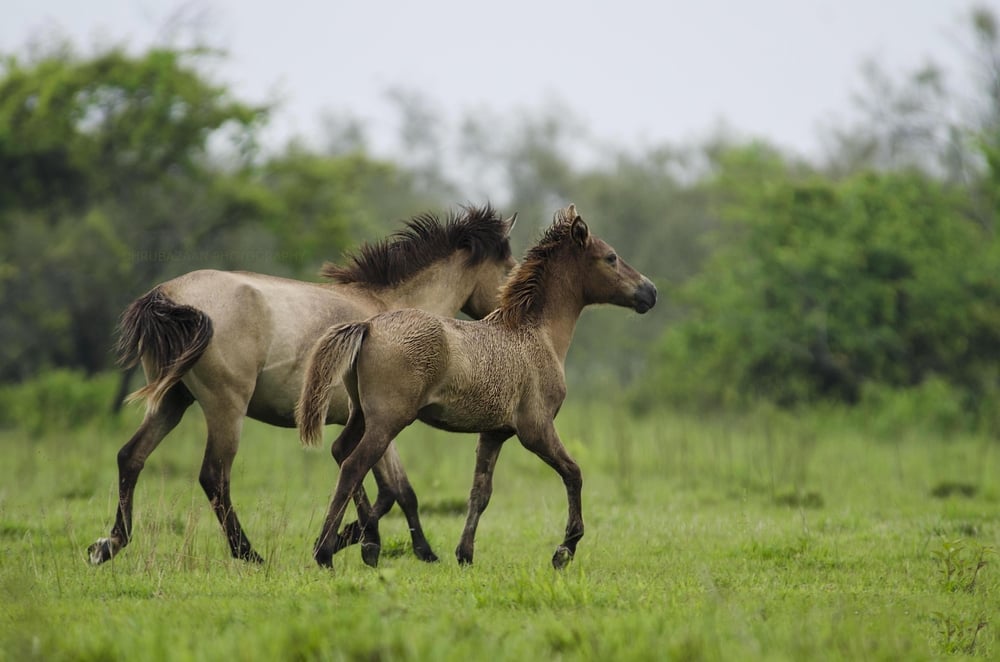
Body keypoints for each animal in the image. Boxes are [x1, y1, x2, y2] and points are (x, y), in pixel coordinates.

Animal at [88, 205, 516, 568]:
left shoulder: (367, 423)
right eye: (509, 269)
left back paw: (108, 545)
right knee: (214, 476)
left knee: (131, 457)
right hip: (225, 407)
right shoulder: (383, 422)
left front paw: (396, 547)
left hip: (172, 401)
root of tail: (169, 295)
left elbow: (392, 489)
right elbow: (386, 489)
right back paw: (249, 554)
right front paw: (359, 543)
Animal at [296, 206, 656, 572]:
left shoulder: (494, 433)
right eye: (611, 257)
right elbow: (574, 473)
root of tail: (367, 326)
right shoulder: (536, 428)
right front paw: (564, 551)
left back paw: (358, 544)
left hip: (360, 415)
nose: (650, 292)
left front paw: (465, 554)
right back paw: (328, 553)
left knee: (341, 452)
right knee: (353, 466)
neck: (537, 334)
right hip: (387, 420)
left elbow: (480, 493)